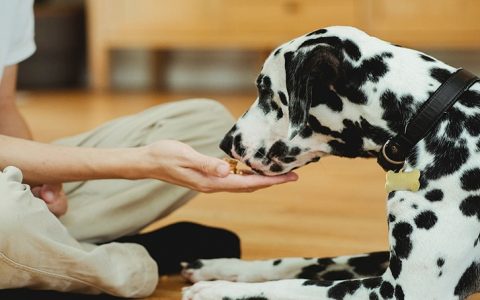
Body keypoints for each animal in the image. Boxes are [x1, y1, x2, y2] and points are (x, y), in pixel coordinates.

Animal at [181, 26, 480, 300]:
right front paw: (225, 268)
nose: (226, 142)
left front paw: (218, 289)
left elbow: (293, 286)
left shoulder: (401, 290)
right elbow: (302, 262)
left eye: (265, 91)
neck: (430, 117)